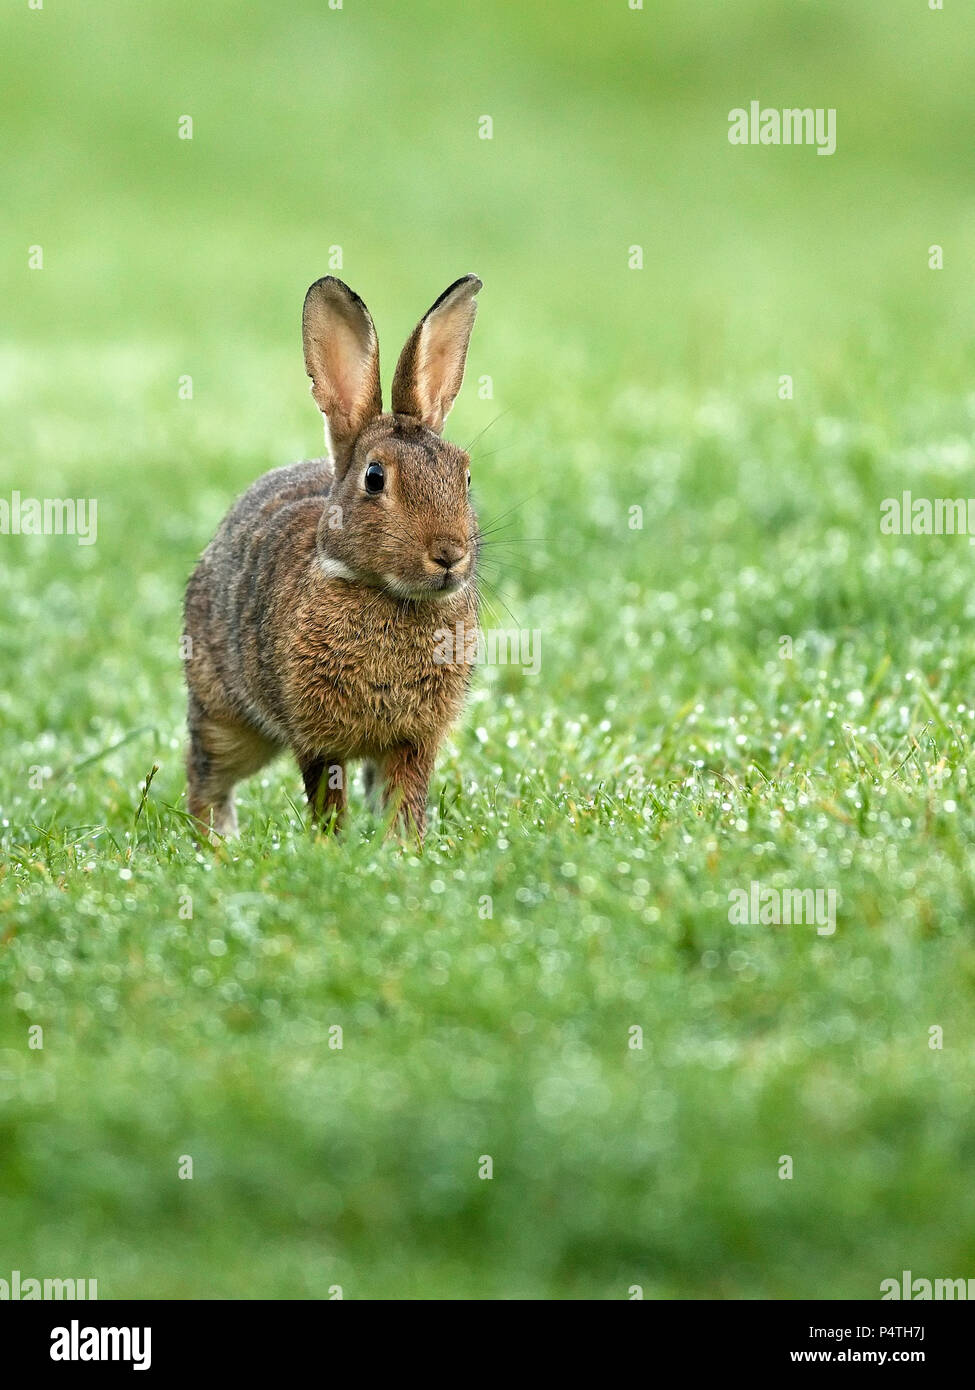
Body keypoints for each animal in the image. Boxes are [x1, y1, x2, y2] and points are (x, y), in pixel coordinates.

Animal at [183, 273, 483, 842]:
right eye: (374, 477)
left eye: (466, 475)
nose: (449, 555)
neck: (384, 594)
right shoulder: (317, 737)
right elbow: (327, 797)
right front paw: (333, 849)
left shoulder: (413, 740)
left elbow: (406, 798)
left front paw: (404, 848)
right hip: (227, 715)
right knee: (206, 775)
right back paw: (219, 845)